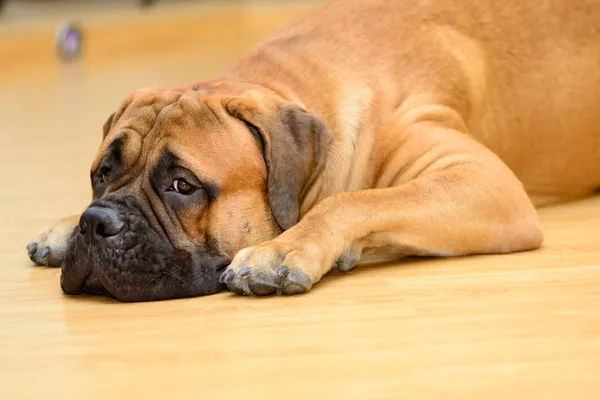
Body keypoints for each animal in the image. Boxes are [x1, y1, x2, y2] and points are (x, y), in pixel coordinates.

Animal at [25, 0, 600, 300]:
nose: (96, 223)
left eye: (181, 185)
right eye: (102, 173)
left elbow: (354, 200)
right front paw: (64, 225)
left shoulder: (480, 178)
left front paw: (284, 249)